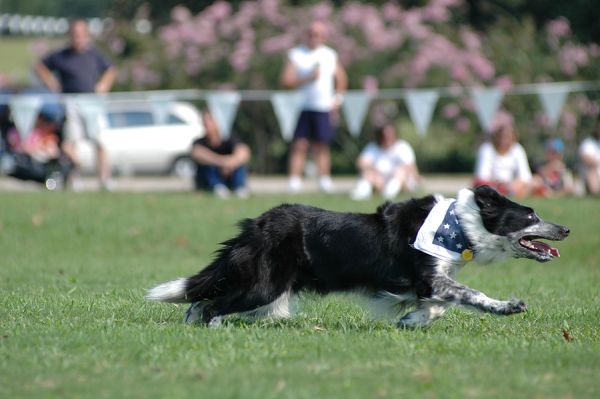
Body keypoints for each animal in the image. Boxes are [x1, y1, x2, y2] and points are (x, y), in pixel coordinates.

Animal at [148, 187, 568, 328]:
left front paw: (412, 320)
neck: (462, 224)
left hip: (267, 292)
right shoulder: (430, 278)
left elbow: (437, 305)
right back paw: (213, 328)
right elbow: (470, 295)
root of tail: (257, 223)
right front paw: (508, 306)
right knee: (211, 305)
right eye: (530, 216)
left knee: (201, 301)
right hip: (264, 287)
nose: (565, 229)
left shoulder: (427, 284)